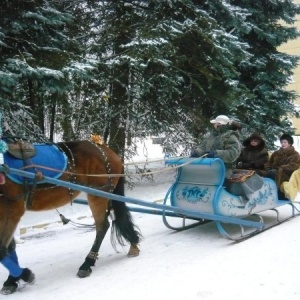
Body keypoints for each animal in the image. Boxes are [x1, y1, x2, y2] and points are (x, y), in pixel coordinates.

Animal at [0, 139, 142, 294]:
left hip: (97, 194)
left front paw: (23, 275)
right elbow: (9, 248)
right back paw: (132, 243)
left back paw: (87, 263)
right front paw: (12, 279)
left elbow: (2, 250)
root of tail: (109, 151)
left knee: (102, 226)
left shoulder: (12, 208)